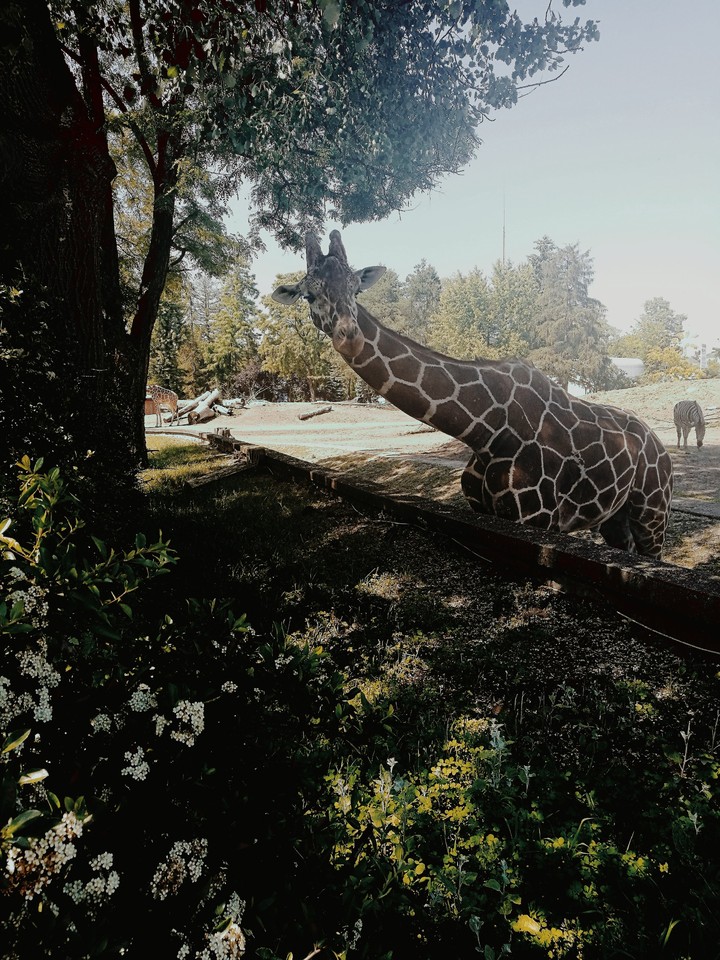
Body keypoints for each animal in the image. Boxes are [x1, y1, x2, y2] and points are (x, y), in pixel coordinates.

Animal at [272, 231, 674, 558]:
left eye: (356, 287)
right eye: (309, 294)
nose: (349, 335)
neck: (484, 430)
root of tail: (659, 445)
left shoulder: (536, 516)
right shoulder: (485, 512)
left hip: (653, 511)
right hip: (615, 517)